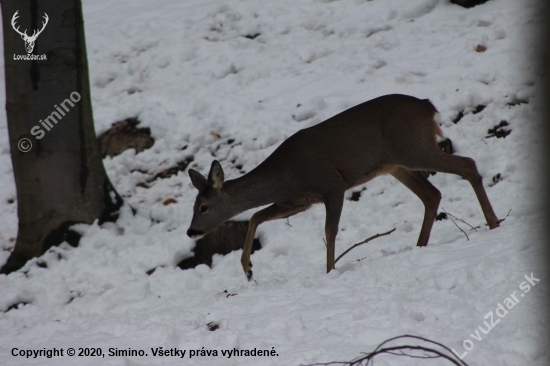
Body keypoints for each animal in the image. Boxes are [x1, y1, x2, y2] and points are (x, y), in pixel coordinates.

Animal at [188, 93, 502, 280]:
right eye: (194, 206)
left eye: (203, 207)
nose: (191, 231)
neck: (286, 175)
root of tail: (428, 106)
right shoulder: (299, 201)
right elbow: (255, 215)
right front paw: (248, 268)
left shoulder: (332, 185)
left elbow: (330, 231)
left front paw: (330, 271)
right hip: (397, 164)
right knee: (432, 194)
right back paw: (420, 245)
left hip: (413, 149)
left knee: (467, 164)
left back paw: (493, 223)